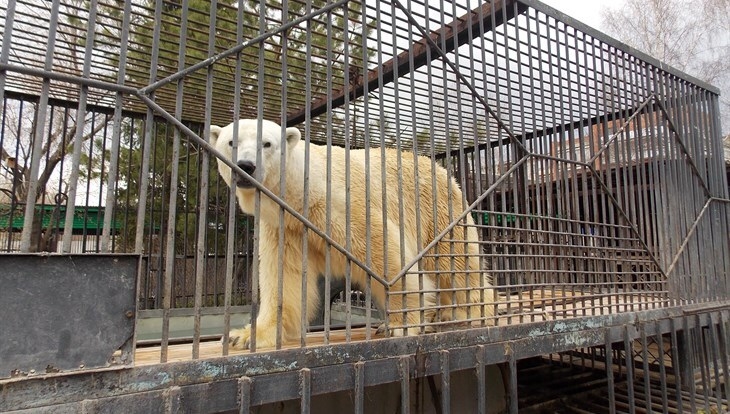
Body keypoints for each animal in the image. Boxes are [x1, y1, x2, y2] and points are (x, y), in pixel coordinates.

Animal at [210, 119, 494, 350]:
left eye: (267, 143)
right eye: (231, 142)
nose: (245, 166)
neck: (300, 194)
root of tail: (439, 167)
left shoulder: (340, 205)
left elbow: (386, 254)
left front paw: (400, 324)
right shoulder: (285, 227)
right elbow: (284, 276)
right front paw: (244, 336)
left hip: (438, 212)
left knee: (456, 261)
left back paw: (473, 311)